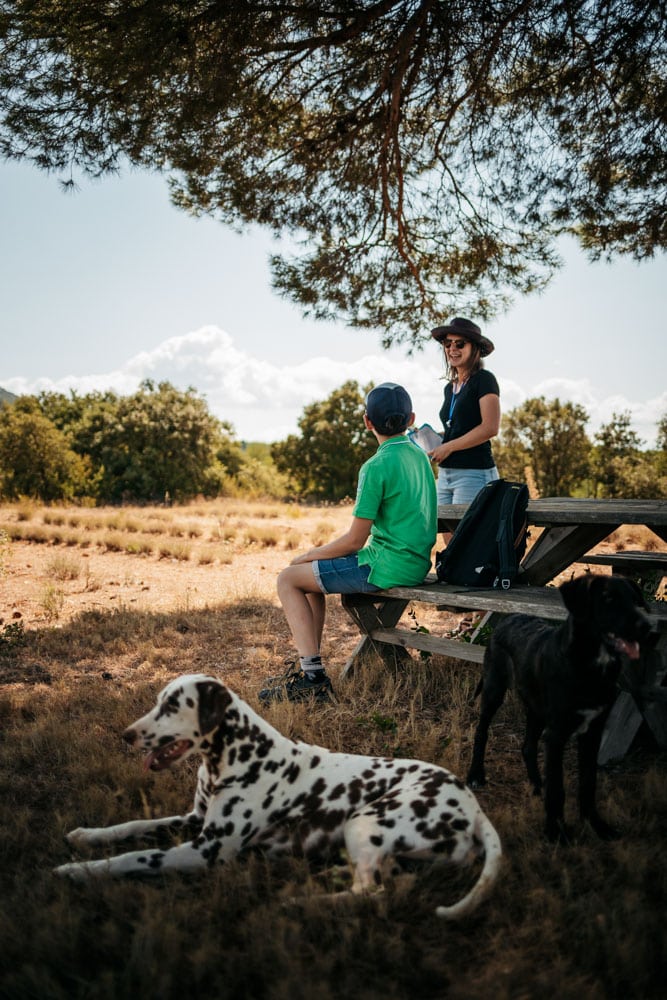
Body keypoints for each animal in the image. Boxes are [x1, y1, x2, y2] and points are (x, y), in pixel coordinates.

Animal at [56, 672, 500, 920]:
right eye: (157, 701)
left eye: (171, 705)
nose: (127, 735)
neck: (237, 756)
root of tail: (474, 809)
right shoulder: (194, 820)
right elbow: (134, 825)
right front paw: (87, 836)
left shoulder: (205, 851)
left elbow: (134, 857)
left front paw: (80, 870)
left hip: (366, 821)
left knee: (371, 894)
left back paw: (300, 903)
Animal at [468, 572, 648, 844]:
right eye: (607, 599)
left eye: (636, 600)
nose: (649, 628)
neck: (589, 664)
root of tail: (508, 617)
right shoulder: (556, 735)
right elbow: (557, 788)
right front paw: (557, 833)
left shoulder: (593, 730)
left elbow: (588, 781)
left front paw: (596, 825)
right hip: (494, 689)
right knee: (481, 731)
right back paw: (476, 775)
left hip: (536, 707)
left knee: (528, 746)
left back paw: (535, 786)